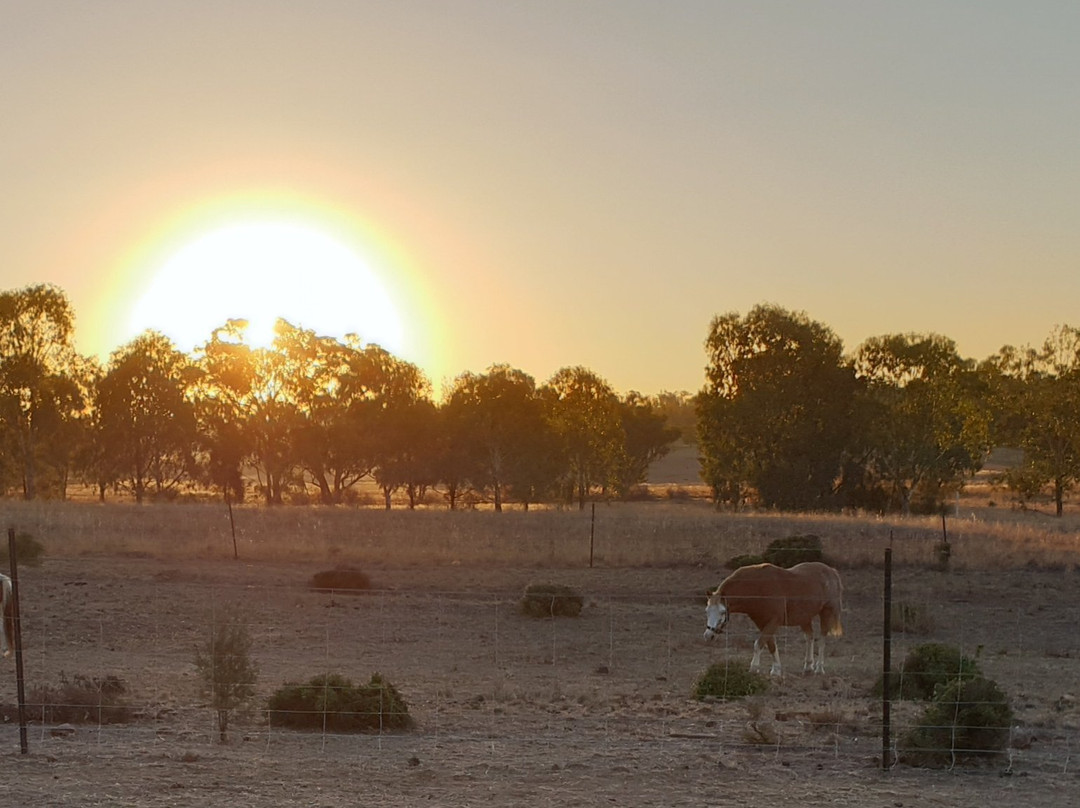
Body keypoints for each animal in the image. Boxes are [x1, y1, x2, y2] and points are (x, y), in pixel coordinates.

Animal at [703, 562, 843, 676]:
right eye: (707, 611)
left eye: (722, 612)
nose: (708, 635)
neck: (758, 588)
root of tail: (831, 571)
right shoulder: (762, 623)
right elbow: (771, 644)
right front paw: (776, 670)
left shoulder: (773, 622)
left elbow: (758, 644)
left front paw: (754, 668)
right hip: (804, 618)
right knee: (810, 637)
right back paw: (808, 667)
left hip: (826, 613)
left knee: (822, 639)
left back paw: (819, 668)